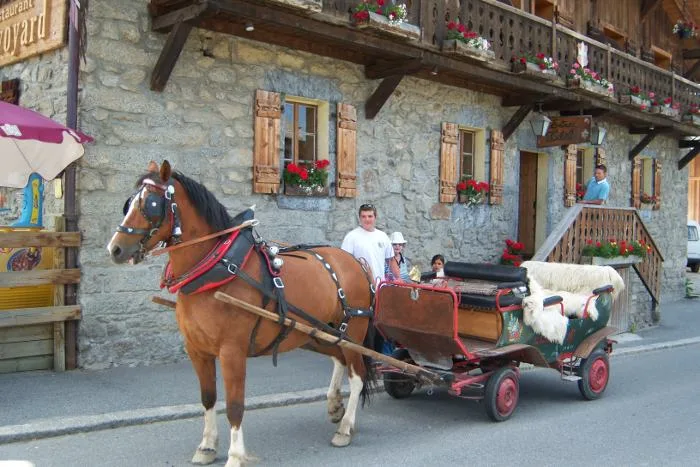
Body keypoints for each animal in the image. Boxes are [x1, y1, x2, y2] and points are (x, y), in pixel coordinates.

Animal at [106, 162, 374, 467]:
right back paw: (334, 405)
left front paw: (235, 455)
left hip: (353, 331)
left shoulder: (231, 351)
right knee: (339, 360)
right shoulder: (197, 350)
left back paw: (345, 427)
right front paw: (207, 446)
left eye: (150, 204)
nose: (115, 249)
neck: (216, 267)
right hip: (323, 332)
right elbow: (208, 397)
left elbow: (235, 406)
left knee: (357, 375)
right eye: (128, 204)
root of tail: (354, 261)